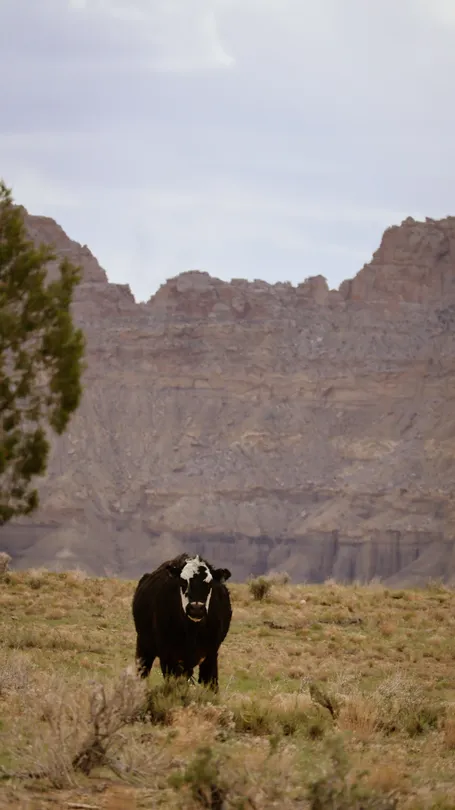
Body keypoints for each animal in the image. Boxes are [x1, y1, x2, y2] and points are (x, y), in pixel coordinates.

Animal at [132, 553, 232, 691]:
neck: (192, 632)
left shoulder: (211, 655)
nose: (196, 608)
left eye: (209, 584)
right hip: (144, 647)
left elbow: (211, 685)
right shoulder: (168, 657)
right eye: (183, 582)